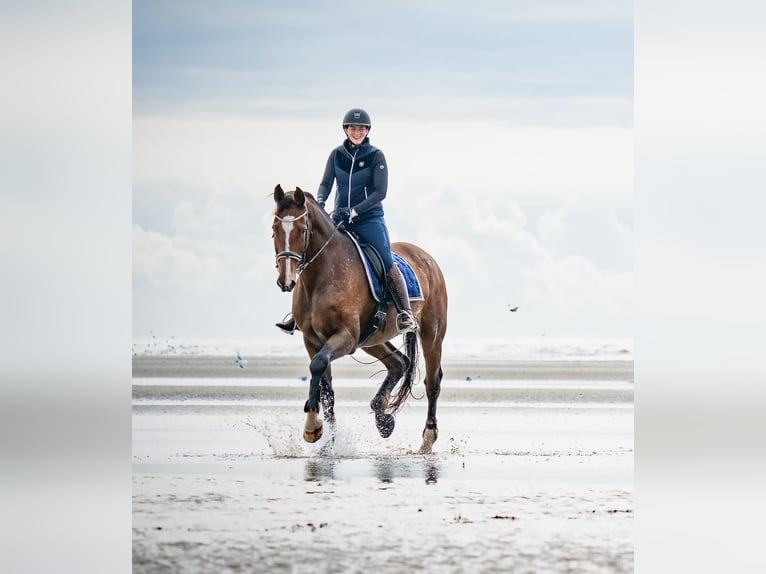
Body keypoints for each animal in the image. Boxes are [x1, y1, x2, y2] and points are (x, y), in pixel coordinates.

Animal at [272, 184, 448, 454]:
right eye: (274, 229)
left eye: (302, 230)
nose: (286, 280)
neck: (320, 278)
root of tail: (426, 257)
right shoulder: (313, 341)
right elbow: (325, 387)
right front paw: (326, 441)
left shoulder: (345, 337)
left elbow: (318, 367)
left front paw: (312, 427)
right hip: (372, 339)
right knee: (399, 362)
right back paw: (383, 418)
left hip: (431, 335)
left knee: (432, 383)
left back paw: (427, 439)